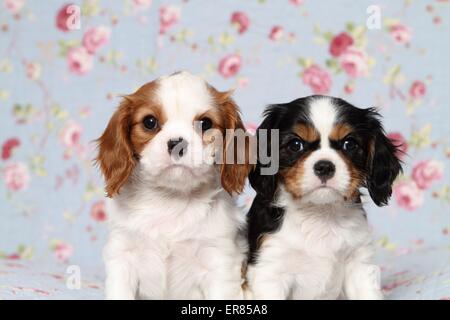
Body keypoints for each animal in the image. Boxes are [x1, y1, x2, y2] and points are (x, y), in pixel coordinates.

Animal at [96, 71, 250, 298]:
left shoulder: (219, 260)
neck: (170, 198)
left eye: (205, 123)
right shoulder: (122, 254)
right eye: (149, 122)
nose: (177, 143)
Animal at [244, 95, 402, 300]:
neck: (319, 213)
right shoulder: (270, 270)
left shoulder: (358, 263)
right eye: (295, 145)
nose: (325, 166)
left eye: (349, 144)